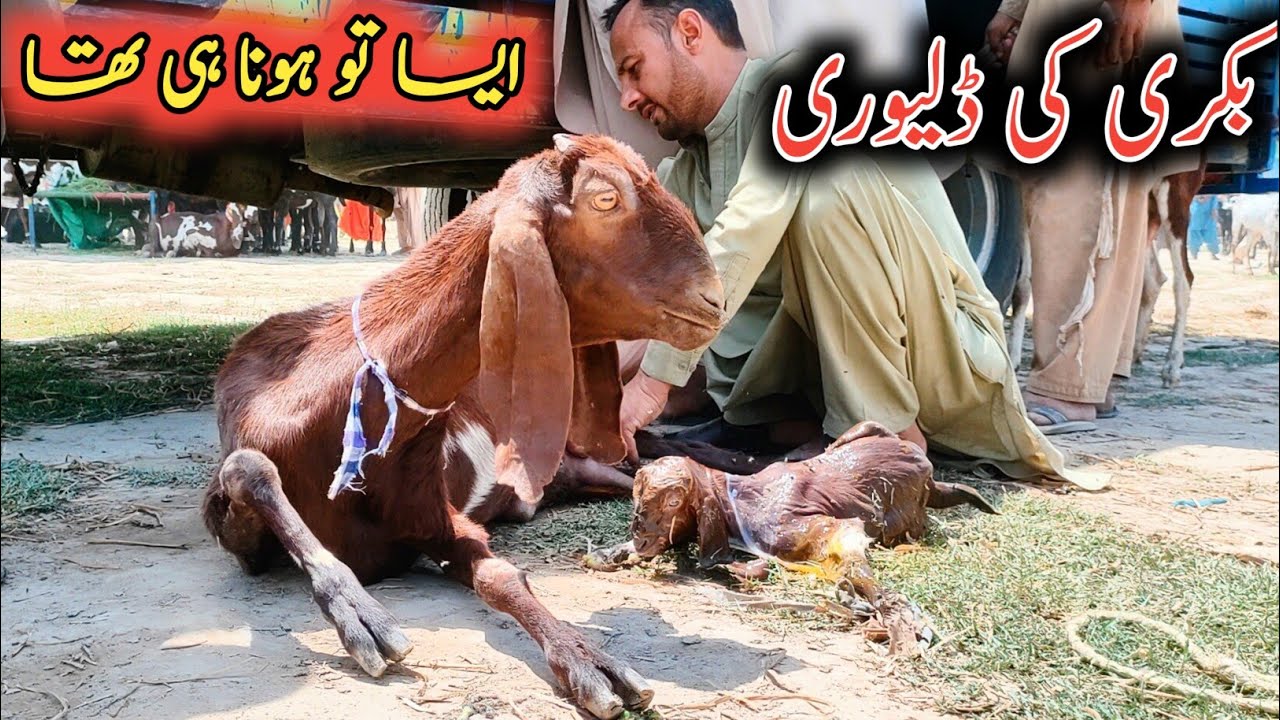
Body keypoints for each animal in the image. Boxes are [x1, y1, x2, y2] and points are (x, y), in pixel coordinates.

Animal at [202, 135, 725, 719]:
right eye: (605, 199)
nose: (716, 299)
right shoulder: (247, 535)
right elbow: (247, 466)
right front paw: (359, 613)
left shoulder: (431, 513)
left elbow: (501, 576)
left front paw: (592, 661)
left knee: (648, 473)